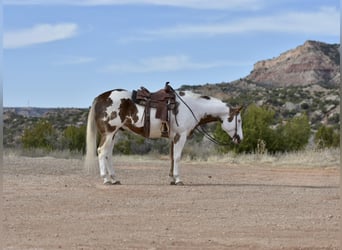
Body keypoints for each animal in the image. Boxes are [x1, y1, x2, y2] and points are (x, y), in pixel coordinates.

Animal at [84, 85, 243, 185]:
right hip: (109, 133)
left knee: (108, 154)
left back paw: (114, 179)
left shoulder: (173, 138)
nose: (240, 139)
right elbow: (177, 157)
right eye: (239, 120)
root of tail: (100, 97)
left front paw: (172, 179)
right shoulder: (180, 136)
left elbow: (172, 158)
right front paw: (178, 179)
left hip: (113, 134)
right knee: (101, 151)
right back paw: (106, 179)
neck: (192, 107)